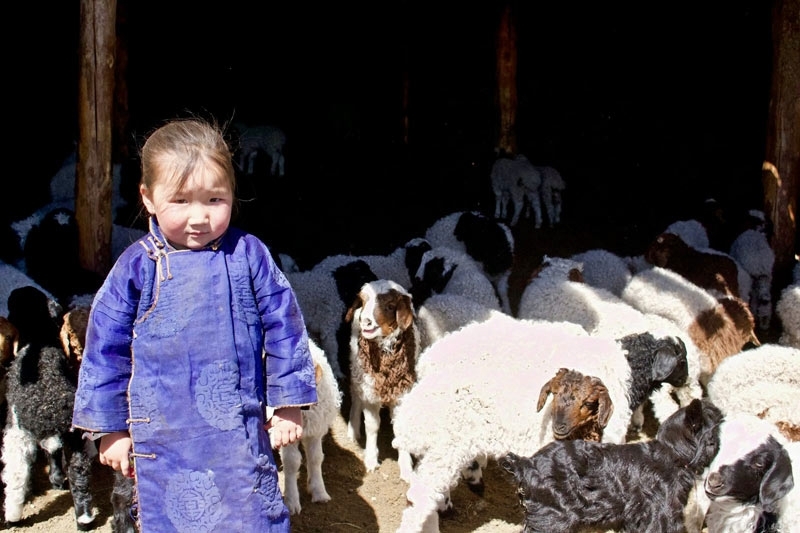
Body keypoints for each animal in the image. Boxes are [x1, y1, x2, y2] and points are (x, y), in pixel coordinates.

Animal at [344, 278, 418, 474]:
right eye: (363, 302)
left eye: (390, 305)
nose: (366, 321)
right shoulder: (370, 393)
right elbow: (372, 426)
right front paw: (371, 458)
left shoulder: (402, 393)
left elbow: (400, 427)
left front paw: (406, 467)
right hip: (357, 372)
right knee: (356, 397)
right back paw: (353, 430)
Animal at [504, 400, 720, 532]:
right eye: (713, 435)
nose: (719, 443)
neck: (670, 453)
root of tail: (526, 463)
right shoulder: (664, 514)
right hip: (553, 518)